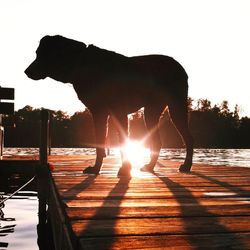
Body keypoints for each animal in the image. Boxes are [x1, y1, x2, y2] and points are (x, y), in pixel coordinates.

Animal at [25, 35, 193, 176]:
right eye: (37, 53)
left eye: (41, 54)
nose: (26, 71)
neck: (80, 63)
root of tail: (180, 67)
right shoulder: (99, 113)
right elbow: (100, 144)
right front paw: (95, 169)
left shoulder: (118, 111)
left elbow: (122, 143)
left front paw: (125, 169)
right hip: (151, 110)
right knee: (158, 142)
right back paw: (150, 166)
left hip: (176, 106)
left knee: (188, 137)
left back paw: (186, 166)